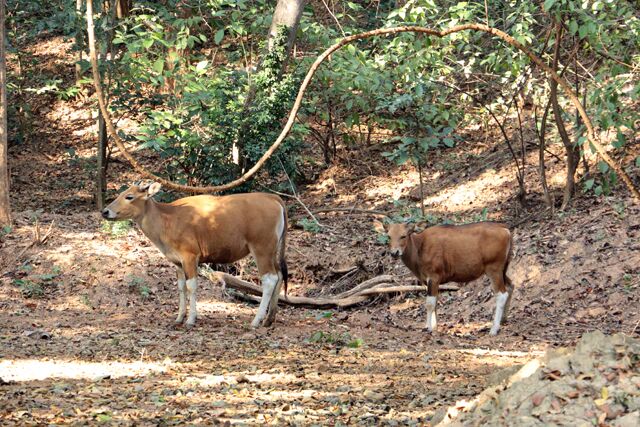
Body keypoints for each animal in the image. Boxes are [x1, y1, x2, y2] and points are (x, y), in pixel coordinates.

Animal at [102, 182, 288, 330]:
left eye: (129, 196)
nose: (105, 212)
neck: (167, 219)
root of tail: (273, 197)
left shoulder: (190, 256)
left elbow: (191, 286)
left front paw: (191, 319)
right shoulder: (177, 262)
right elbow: (181, 287)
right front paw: (179, 318)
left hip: (261, 249)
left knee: (270, 279)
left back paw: (256, 321)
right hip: (272, 250)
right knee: (279, 276)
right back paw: (269, 319)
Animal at [376, 221, 516, 338]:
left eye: (403, 236)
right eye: (389, 236)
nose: (394, 253)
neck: (420, 248)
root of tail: (505, 230)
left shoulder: (433, 276)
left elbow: (429, 303)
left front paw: (428, 328)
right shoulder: (431, 281)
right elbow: (435, 302)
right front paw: (435, 327)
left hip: (494, 268)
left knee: (501, 294)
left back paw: (494, 329)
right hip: (503, 269)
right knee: (511, 286)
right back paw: (504, 319)